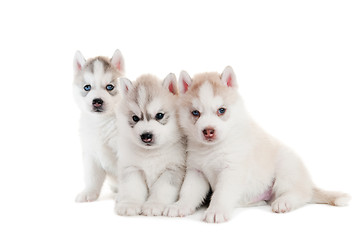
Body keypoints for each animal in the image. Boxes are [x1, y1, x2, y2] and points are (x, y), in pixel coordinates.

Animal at [72, 49, 124, 202]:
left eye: (109, 87)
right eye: (87, 87)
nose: (97, 101)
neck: (101, 122)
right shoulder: (91, 154)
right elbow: (92, 177)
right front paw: (89, 192)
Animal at [113, 73, 186, 216]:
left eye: (159, 115)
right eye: (135, 118)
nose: (146, 136)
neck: (151, 154)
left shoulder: (173, 169)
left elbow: (162, 190)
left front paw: (154, 205)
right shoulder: (132, 168)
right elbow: (132, 188)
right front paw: (130, 204)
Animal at [165, 66, 350, 223]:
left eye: (221, 110)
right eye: (195, 113)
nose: (208, 131)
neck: (212, 149)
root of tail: (309, 183)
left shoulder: (232, 170)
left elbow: (222, 194)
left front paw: (216, 211)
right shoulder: (196, 172)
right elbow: (188, 192)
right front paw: (179, 206)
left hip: (285, 166)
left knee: (301, 193)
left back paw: (285, 202)